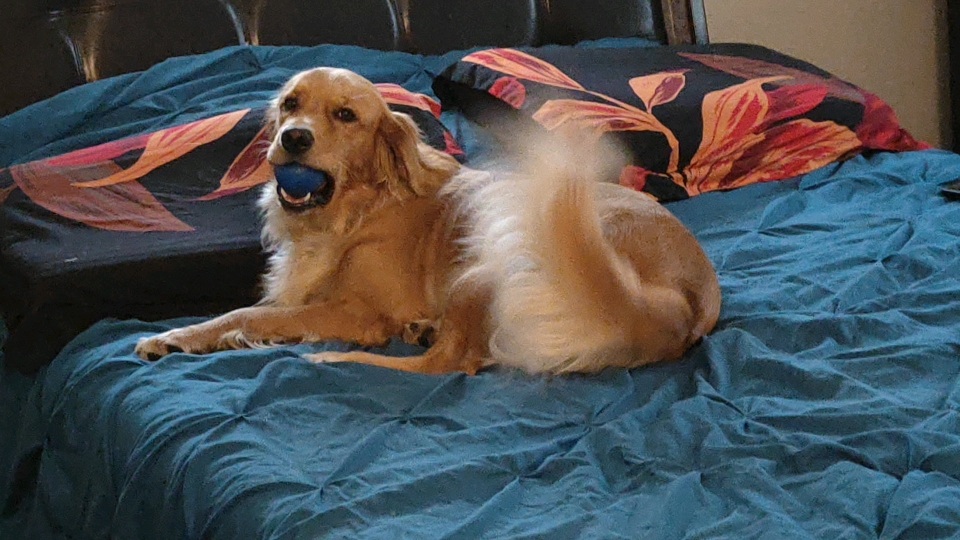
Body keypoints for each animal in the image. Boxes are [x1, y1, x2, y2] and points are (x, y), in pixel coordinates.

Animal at [135, 67, 720, 376]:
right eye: (290, 103)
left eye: (345, 115)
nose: (293, 138)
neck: (354, 212)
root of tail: (678, 304)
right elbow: (249, 311)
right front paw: (187, 335)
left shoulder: (359, 311)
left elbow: (255, 316)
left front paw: (194, 334)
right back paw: (421, 329)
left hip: (482, 265)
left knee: (448, 363)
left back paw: (337, 358)